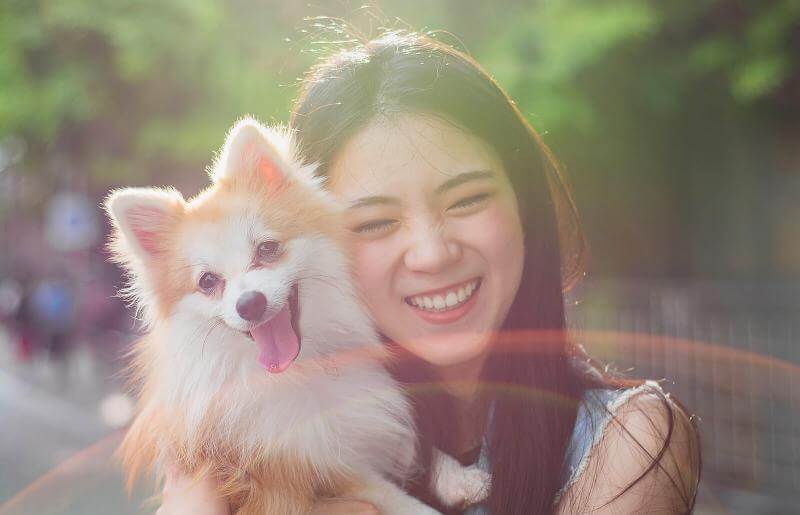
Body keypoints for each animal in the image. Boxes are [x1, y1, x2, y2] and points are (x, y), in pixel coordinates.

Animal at [106, 119, 488, 512]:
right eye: (208, 281)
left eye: (267, 249)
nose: (249, 303)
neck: (303, 369)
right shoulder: (316, 467)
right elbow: (390, 495)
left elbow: (412, 447)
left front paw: (459, 478)